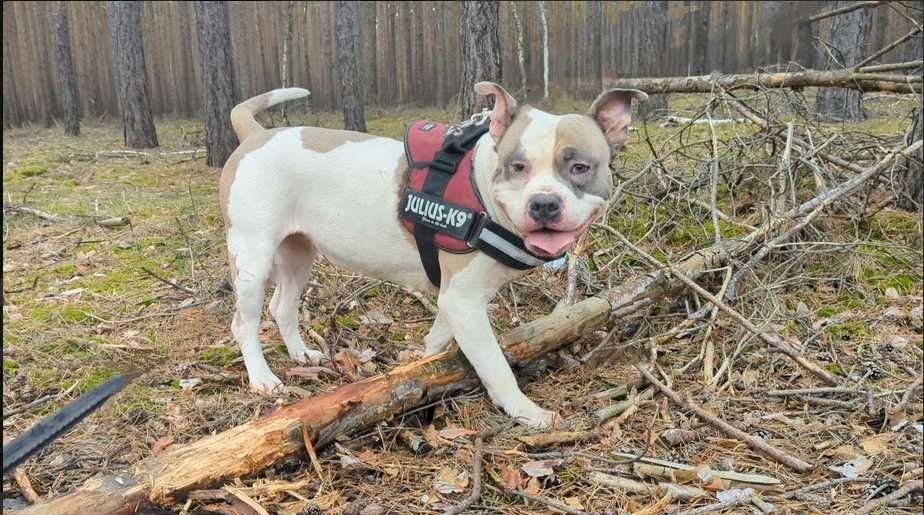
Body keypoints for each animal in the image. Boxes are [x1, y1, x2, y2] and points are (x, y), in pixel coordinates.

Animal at [220, 82, 648, 428]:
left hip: (297, 253)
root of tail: (256, 135)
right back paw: (263, 379)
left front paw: (418, 367)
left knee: (283, 306)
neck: (483, 194)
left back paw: (302, 355)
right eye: (517, 166)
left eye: (580, 168)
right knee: (244, 322)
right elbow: (495, 365)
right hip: (252, 258)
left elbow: (437, 338)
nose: (544, 203)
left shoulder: (455, 299)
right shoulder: (464, 301)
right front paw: (525, 411)